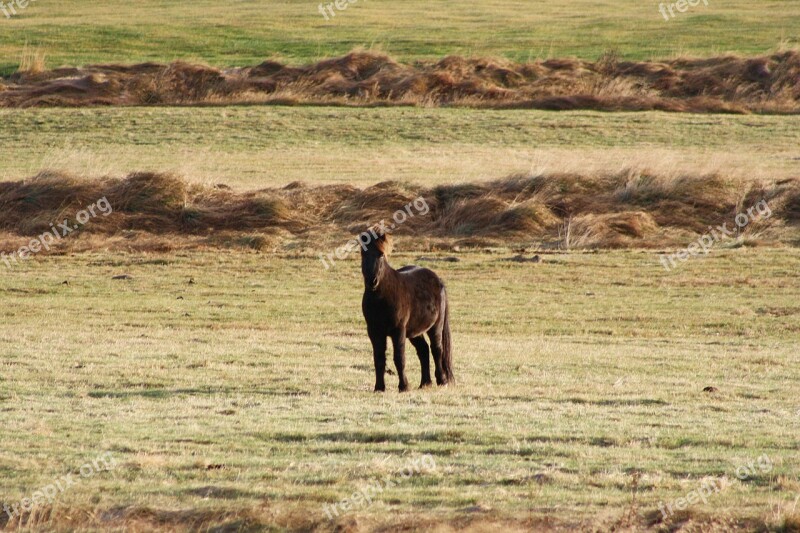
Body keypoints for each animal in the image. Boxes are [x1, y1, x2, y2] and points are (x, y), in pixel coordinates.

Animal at [360, 229, 454, 390]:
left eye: (381, 254)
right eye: (363, 254)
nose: (372, 281)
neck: (382, 297)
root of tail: (438, 280)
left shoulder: (398, 330)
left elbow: (399, 358)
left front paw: (404, 386)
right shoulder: (374, 331)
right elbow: (378, 358)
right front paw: (379, 387)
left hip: (435, 326)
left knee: (437, 350)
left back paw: (442, 381)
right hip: (415, 331)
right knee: (423, 350)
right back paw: (425, 383)